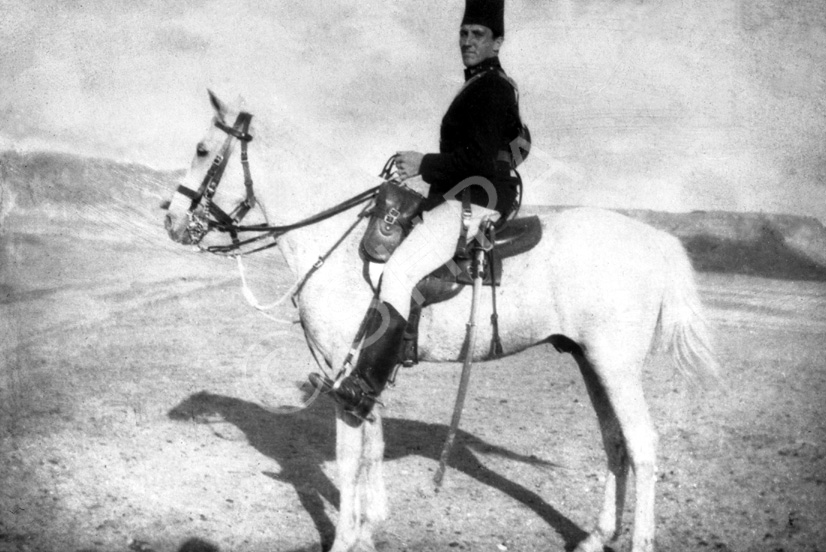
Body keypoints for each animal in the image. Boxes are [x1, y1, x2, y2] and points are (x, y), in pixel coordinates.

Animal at [164, 91, 716, 552]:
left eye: (202, 149)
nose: (171, 219)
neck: (338, 239)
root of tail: (655, 240)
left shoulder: (345, 371)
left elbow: (349, 457)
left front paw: (346, 540)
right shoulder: (363, 376)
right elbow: (372, 447)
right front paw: (369, 530)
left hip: (615, 364)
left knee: (642, 447)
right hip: (590, 361)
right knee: (614, 442)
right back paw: (597, 536)